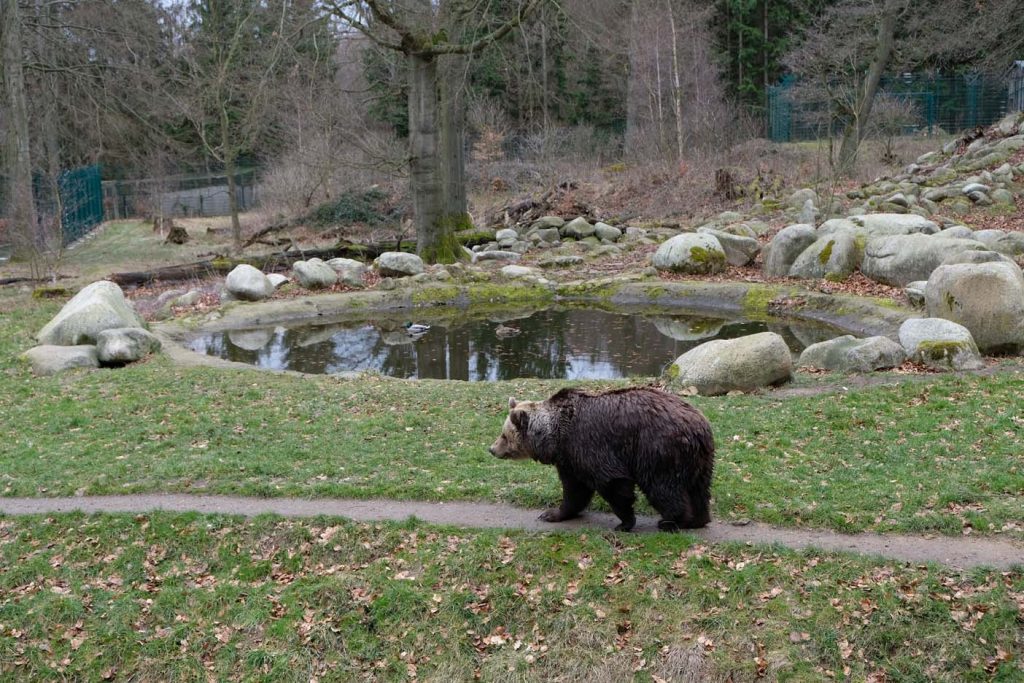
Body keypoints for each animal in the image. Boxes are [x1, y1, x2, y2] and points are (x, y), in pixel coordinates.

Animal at [489, 387, 716, 532]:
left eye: (503, 435)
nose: (492, 449)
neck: (556, 436)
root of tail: (699, 427)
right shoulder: (570, 460)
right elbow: (575, 491)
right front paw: (552, 514)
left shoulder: (590, 446)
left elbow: (612, 483)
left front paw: (624, 522)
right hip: (701, 460)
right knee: (699, 488)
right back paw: (699, 519)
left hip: (658, 450)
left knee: (662, 487)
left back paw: (672, 521)